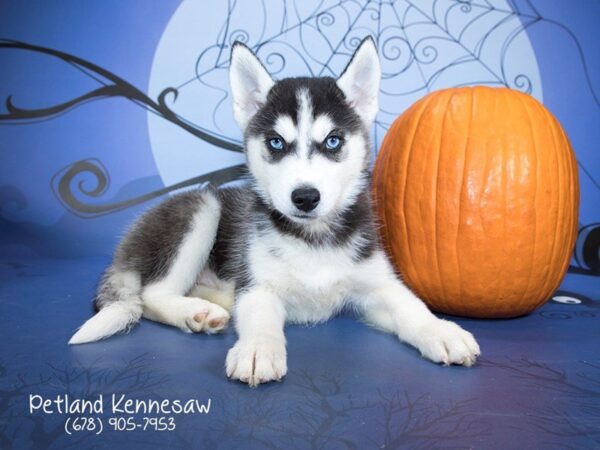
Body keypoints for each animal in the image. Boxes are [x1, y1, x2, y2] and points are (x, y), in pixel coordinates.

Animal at [70, 37, 480, 384]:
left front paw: (440, 330)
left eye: (333, 141)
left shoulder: (375, 284)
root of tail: (124, 250)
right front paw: (257, 349)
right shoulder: (257, 285)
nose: (305, 197)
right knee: (150, 295)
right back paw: (194, 313)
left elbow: (409, 305)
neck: (313, 237)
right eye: (276, 143)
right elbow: (260, 316)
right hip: (201, 210)